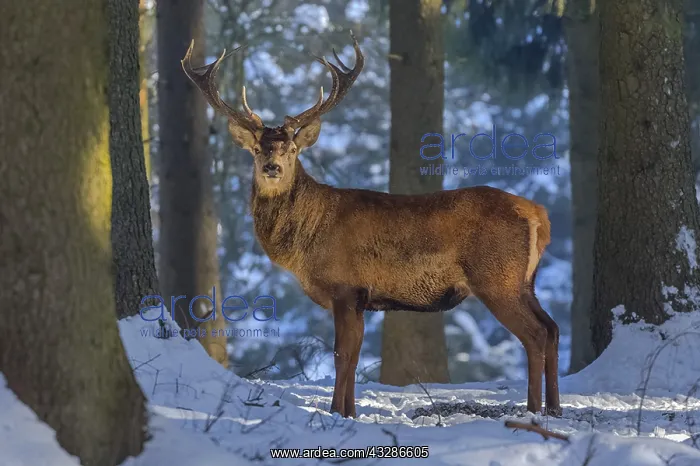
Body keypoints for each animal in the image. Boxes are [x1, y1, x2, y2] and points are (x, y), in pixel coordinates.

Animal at [181, 32, 561, 419]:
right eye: (257, 149)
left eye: (291, 150)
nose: (272, 167)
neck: (307, 240)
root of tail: (539, 215)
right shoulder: (363, 297)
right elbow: (354, 357)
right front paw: (350, 411)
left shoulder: (345, 287)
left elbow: (342, 355)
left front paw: (337, 412)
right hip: (524, 281)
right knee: (553, 328)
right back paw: (554, 408)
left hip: (497, 278)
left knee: (535, 334)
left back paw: (534, 409)